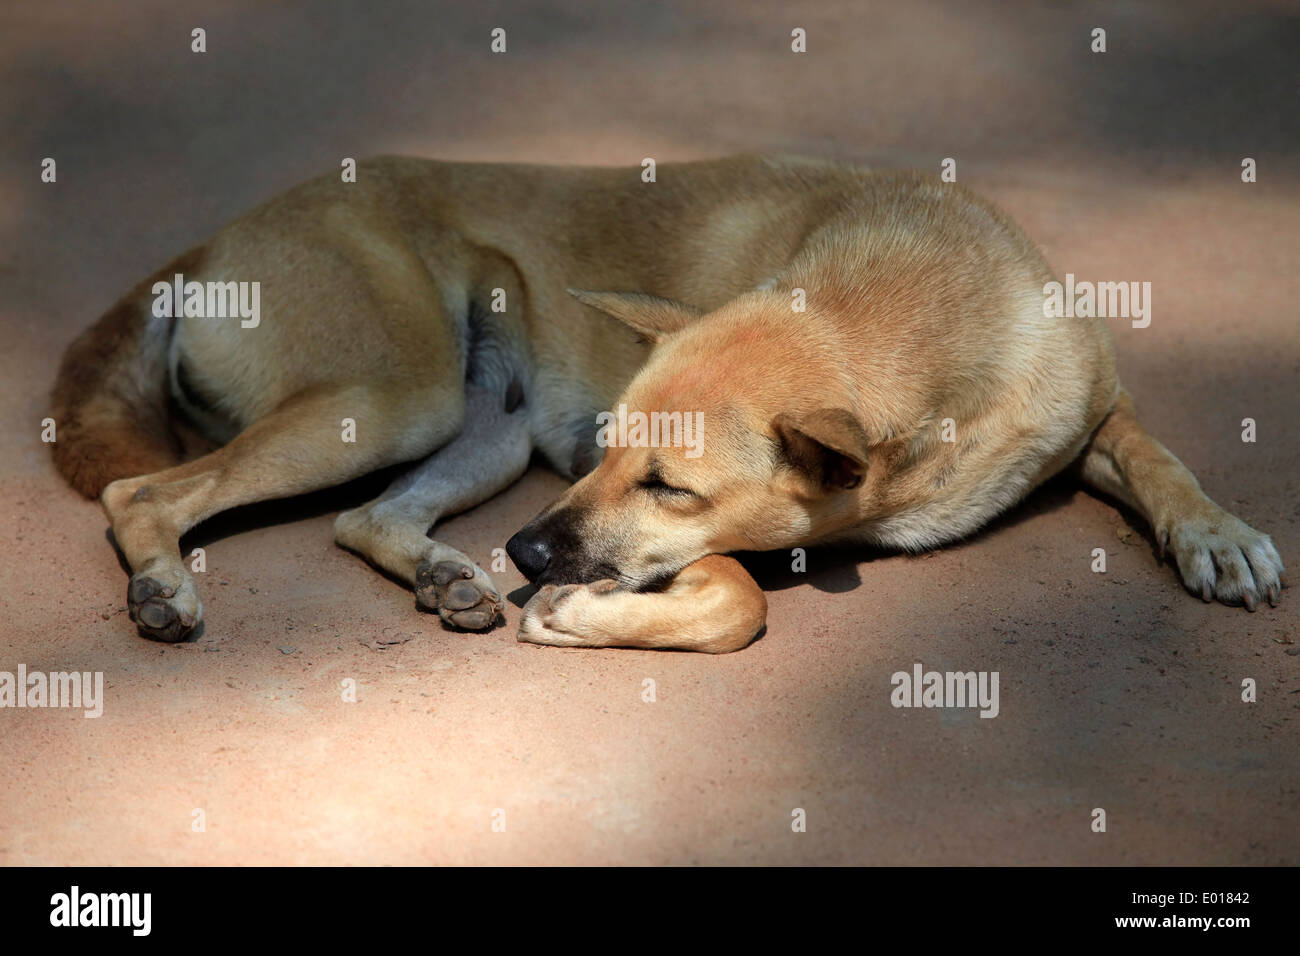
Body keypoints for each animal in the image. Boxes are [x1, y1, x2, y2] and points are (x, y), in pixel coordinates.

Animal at [48, 157, 1279, 655]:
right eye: (604, 447)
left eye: (669, 483)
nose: (525, 553)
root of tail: (211, 240)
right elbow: (741, 599)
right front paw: (583, 616)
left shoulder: (1087, 408)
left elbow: (1159, 454)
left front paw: (1217, 535)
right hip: (394, 397)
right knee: (141, 488)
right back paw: (163, 586)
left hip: (480, 427)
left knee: (368, 516)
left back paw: (449, 574)